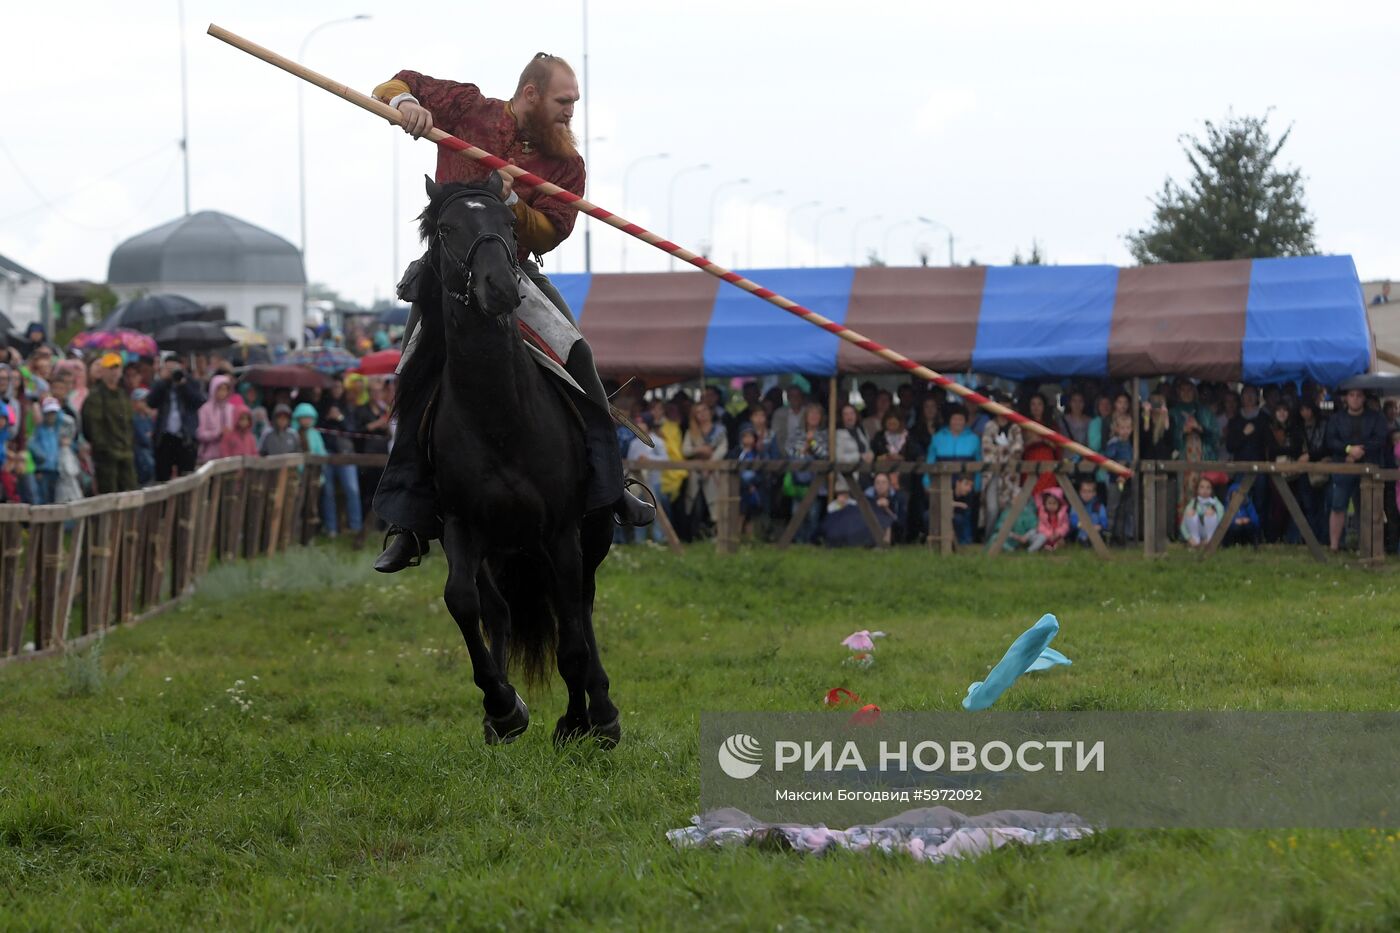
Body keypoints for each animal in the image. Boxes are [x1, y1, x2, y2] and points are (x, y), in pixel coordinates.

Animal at [392, 170, 616, 745]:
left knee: (582, 608)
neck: (499, 417)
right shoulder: (461, 526)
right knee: (497, 609)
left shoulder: (560, 531)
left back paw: (603, 711)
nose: (498, 288)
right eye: (446, 229)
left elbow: (572, 636)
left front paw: (577, 721)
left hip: (589, 535)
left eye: (509, 224)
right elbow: (462, 602)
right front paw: (502, 705)